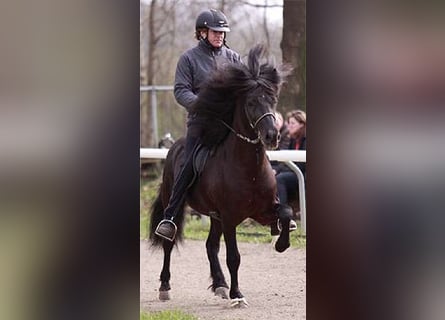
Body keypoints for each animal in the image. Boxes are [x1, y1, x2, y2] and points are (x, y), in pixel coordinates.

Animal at [149, 45, 294, 308]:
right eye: (251, 102)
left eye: (273, 100)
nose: (272, 136)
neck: (248, 169)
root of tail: (174, 147)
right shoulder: (229, 218)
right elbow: (234, 257)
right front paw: (238, 294)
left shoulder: (263, 210)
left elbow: (286, 212)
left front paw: (281, 244)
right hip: (175, 204)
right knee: (168, 242)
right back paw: (165, 286)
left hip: (214, 216)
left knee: (210, 246)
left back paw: (220, 284)